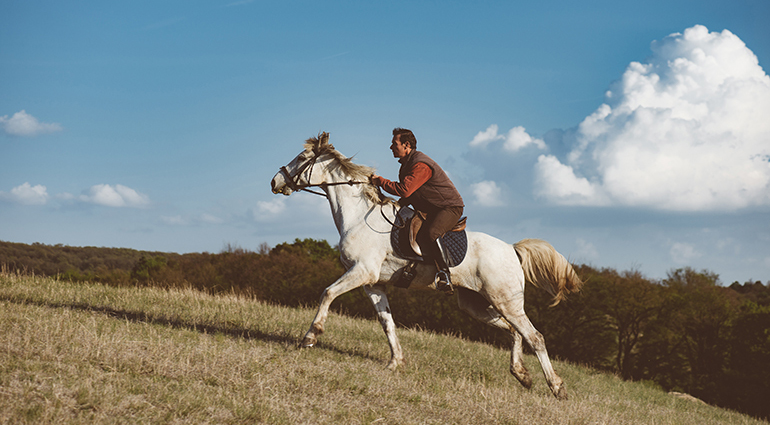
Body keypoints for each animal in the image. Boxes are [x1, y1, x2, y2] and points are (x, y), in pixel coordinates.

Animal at [270, 132, 584, 398]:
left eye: (301, 157)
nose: (274, 182)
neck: (358, 217)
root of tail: (511, 250)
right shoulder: (373, 283)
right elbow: (386, 322)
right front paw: (396, 362)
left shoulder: (361, 272)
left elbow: (328, 293)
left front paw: (310, 336)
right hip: (475, 303)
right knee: (513, 331)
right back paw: (522, 375)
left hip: (507, 301)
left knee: (535, 336)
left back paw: (556, 387)